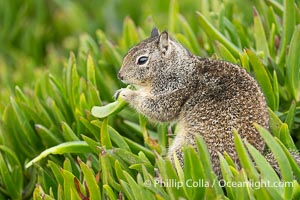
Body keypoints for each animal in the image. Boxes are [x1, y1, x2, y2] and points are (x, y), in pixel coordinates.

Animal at [116, 27, 296, 178]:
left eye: (142, 60)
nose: (120, 75)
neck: (176, 67)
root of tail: (248, 167)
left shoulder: (172, 91)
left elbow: (157, 110)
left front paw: (127, 93)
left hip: (188, 149)